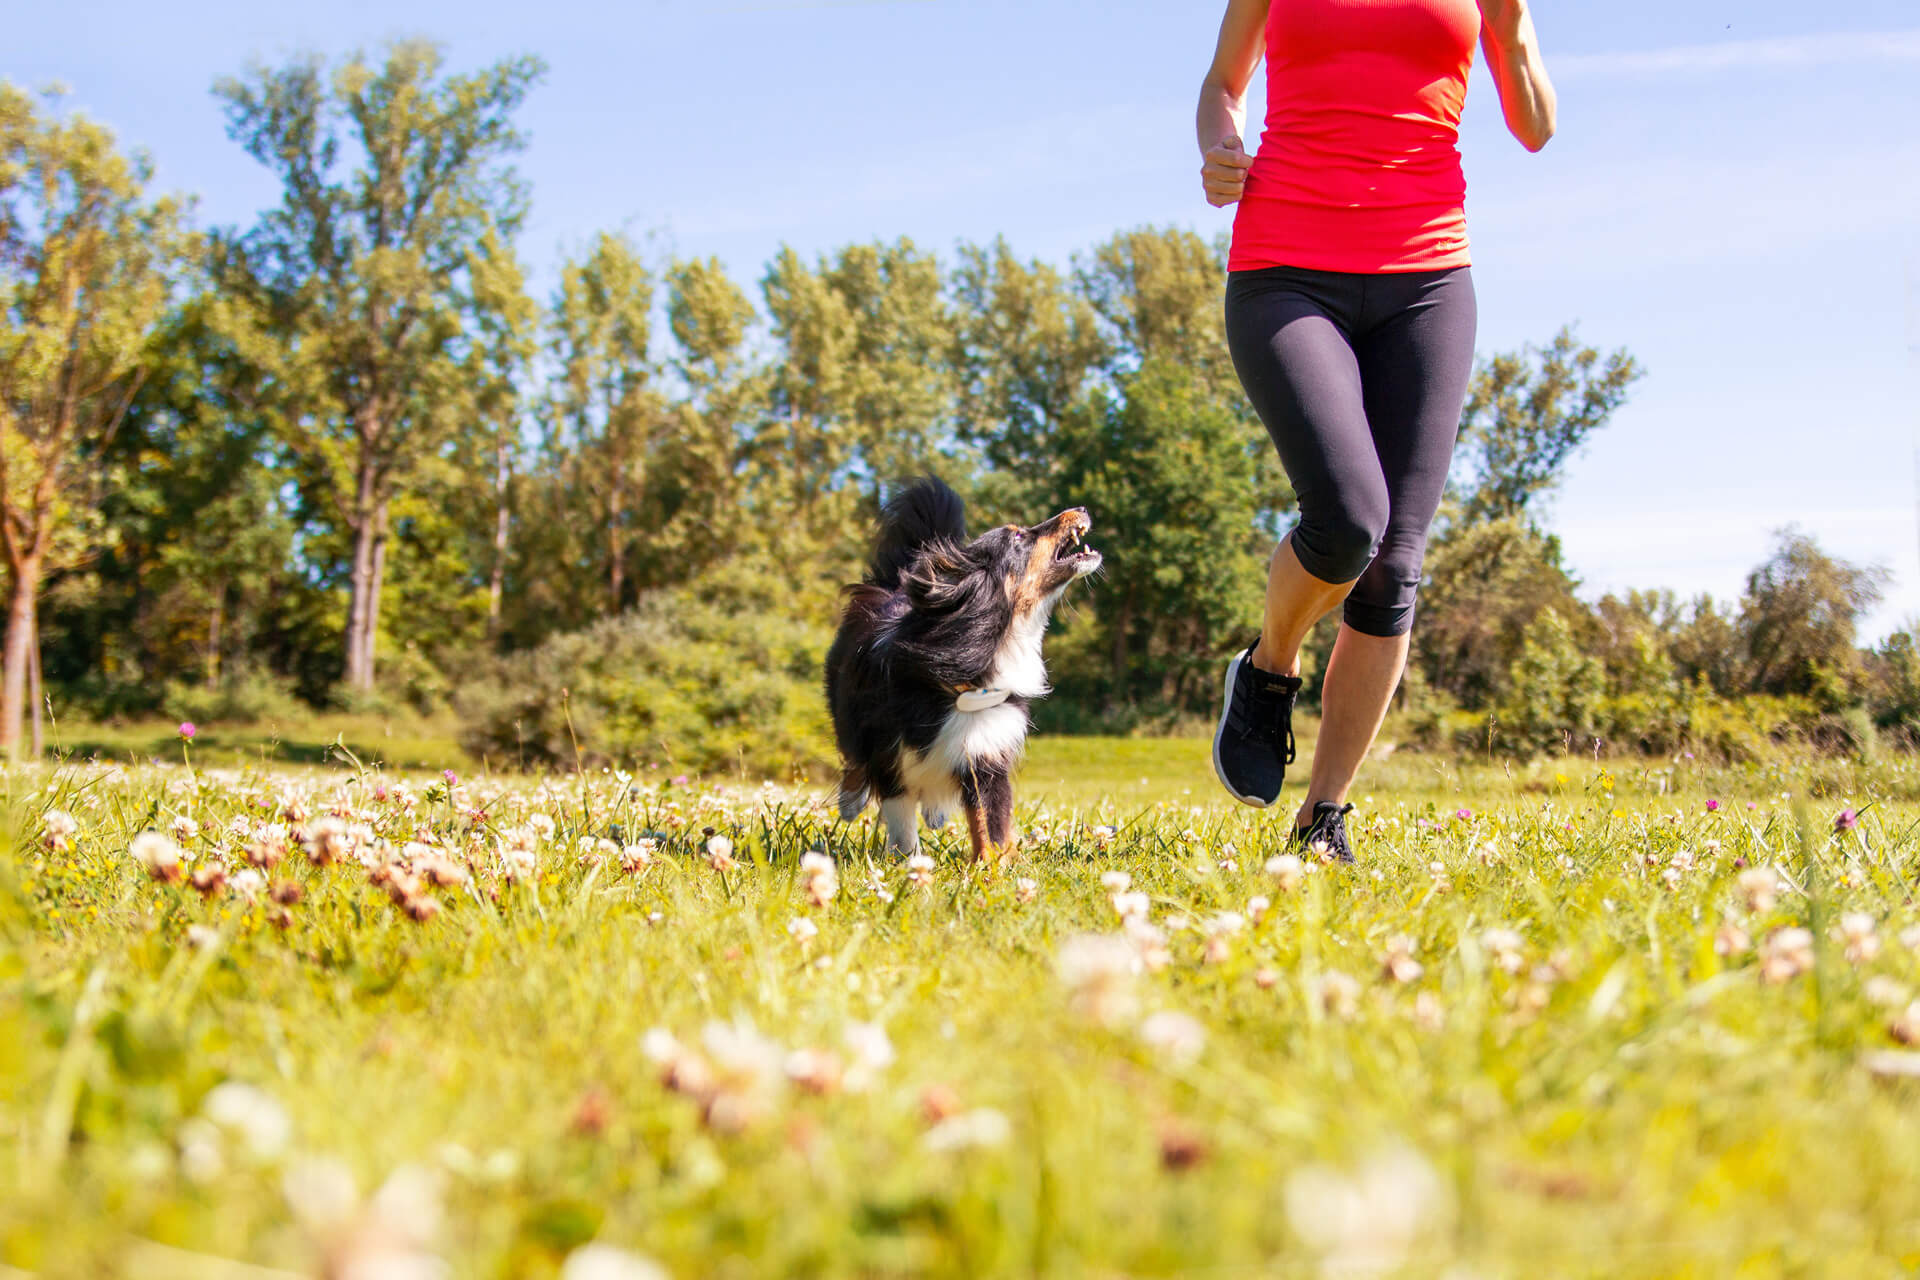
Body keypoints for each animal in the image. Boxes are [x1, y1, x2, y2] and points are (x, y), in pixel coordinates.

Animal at [821, 477, 1105, 859]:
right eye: (1018, 537)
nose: (1083, 508)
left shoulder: (985, 747)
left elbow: (990, 822)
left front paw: (996, 867)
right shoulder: (889, 753)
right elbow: (901, 819)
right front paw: (907, 863)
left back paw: (936, 813)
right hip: (846, 711)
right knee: (853, 759)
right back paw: (850, 802)